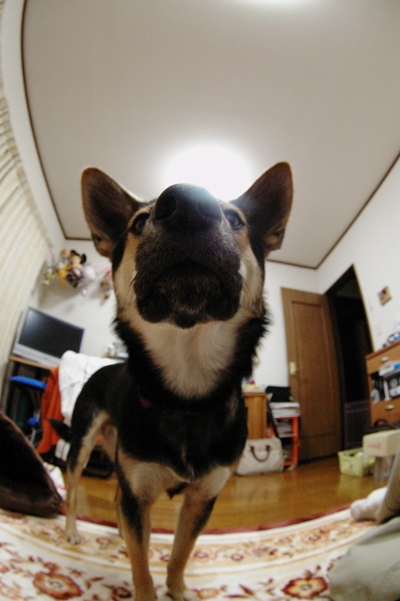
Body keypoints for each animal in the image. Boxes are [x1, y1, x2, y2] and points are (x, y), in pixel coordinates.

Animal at [56, 162, 293, 601]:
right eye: (138, 222)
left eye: (236, 219)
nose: (188, 204)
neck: (187, 393)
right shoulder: (139, 491)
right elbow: (142, 567)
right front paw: (148, 587)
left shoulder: (203, 497)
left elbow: (181, 550)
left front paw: (179, 589)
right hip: (83, 440)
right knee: (74, 486)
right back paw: (73, 531)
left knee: (117, 500)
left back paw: (118, 535)